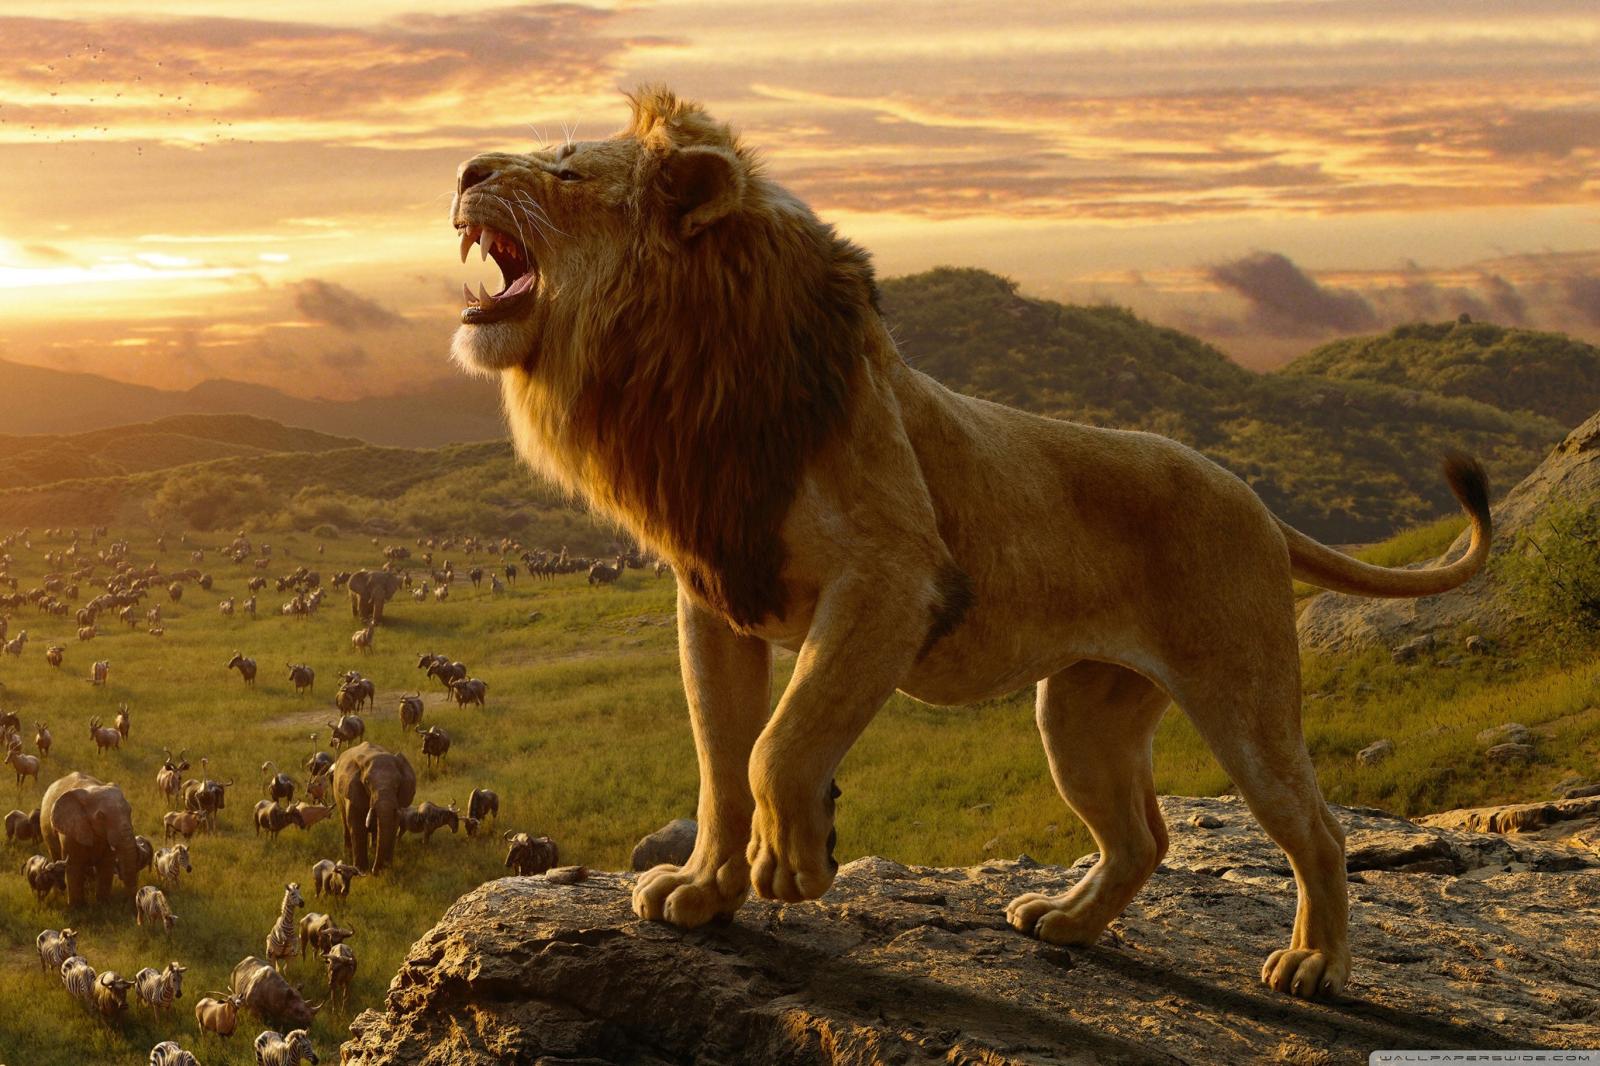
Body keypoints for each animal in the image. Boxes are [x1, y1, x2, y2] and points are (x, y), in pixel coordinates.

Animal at [448, 86, 1491, 1001]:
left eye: (566, 170)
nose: (462, 170)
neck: (681, 374)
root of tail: (1257, 501)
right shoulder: (715, 597)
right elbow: (718, 762)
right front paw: (703, 892)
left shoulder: (894, 579)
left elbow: (777, 746)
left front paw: (795, 864)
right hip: (1081, 716)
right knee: (1143, 837)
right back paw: (1064, 923)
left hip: (1243, 697)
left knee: (1316, 827)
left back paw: (1315, 964)